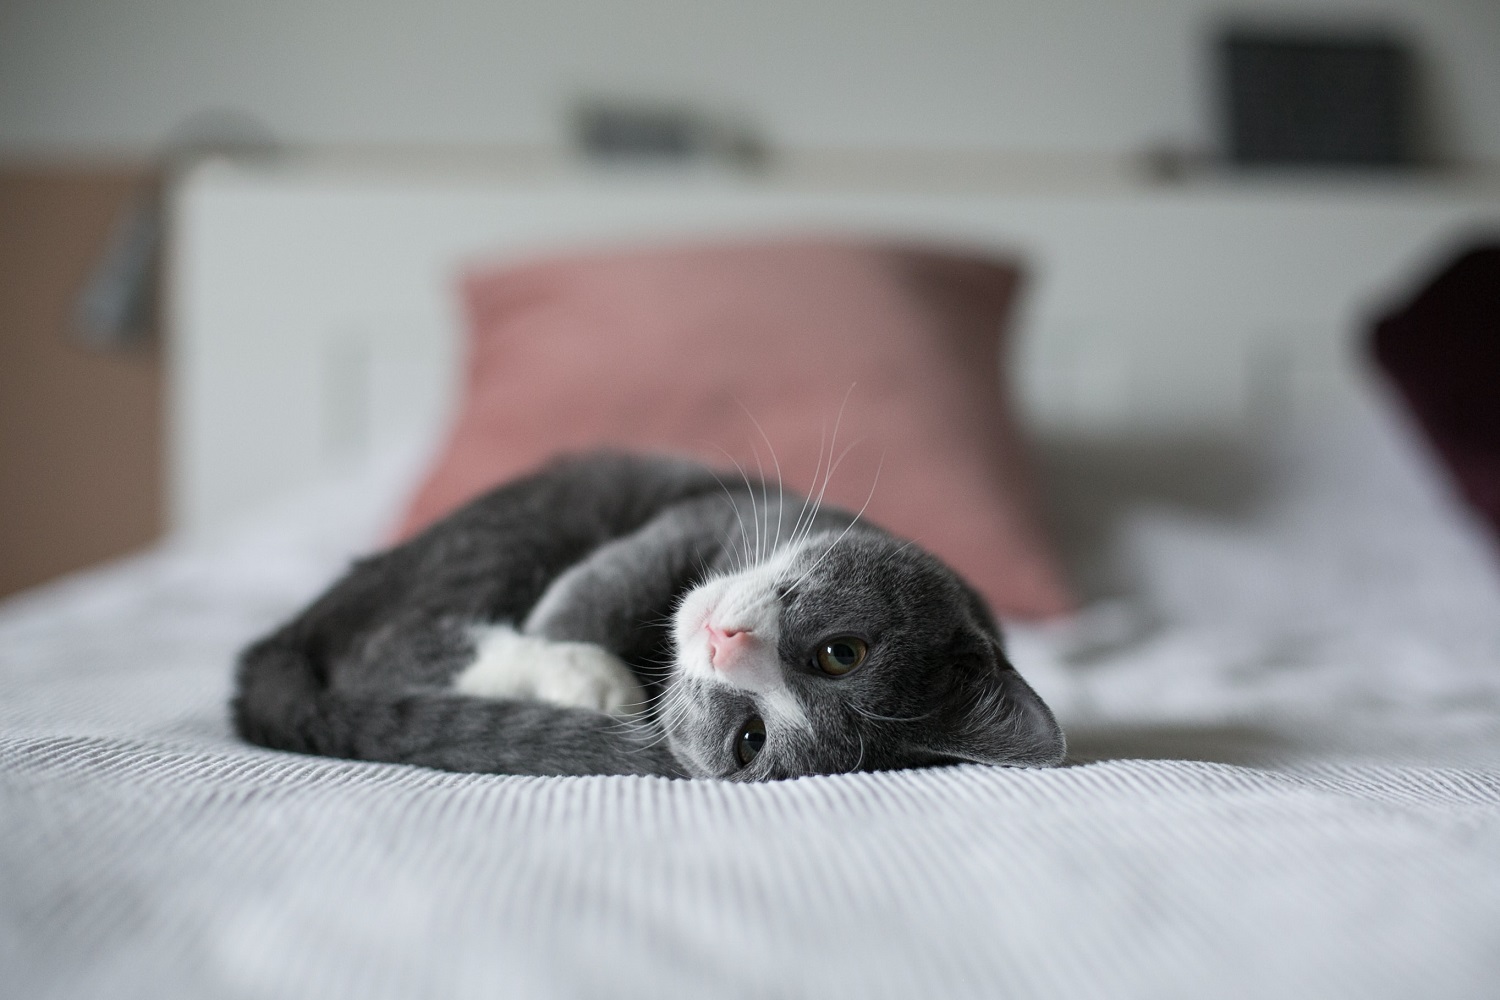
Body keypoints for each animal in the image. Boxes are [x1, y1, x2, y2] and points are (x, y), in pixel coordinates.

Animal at [231, 452, 1068, 779]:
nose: (726, 643)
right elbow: (604, 586)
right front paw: (582, 662)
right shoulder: (703, 515)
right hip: (520, 525)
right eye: (843, 652)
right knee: (383, 646)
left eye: (750, 738)